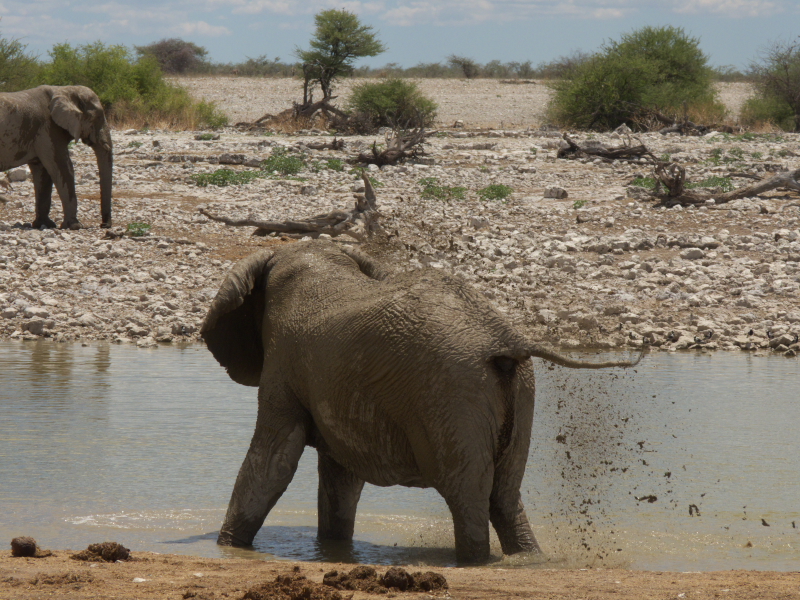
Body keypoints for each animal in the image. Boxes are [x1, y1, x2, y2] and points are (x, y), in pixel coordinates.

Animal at [0, 85, 113, 229]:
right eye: (98, 117)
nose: (104, 225)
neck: (65, 89)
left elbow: (43, 174)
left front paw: (44, 225)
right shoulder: (48, 130)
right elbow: (63, 168)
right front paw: (74, 226)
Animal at [201, 241, 643, 564]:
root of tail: (503, 337)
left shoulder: (284, 365)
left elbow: (274, 460)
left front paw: (228, 547)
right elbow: (341, 476)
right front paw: (333, 551)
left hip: (452, 392)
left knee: (466, 492)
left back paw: (473, 562)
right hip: (516, 388)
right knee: (504, 493)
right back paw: (526, 559)